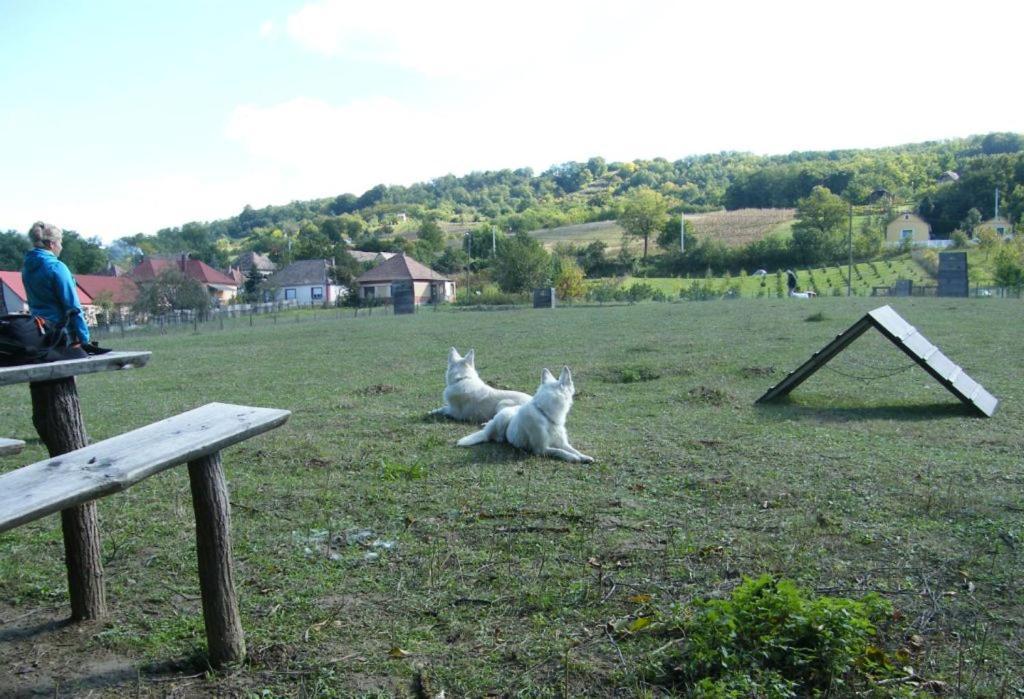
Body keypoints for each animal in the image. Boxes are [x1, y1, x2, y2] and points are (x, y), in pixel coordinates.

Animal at [456, 366, 593, 464]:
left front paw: (584, 457)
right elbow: (560, 452)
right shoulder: (541, 450)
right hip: (503, 418)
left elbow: (573, 449)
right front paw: (574, 458)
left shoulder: (563, 443)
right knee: (491, 435)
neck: (545, 414)